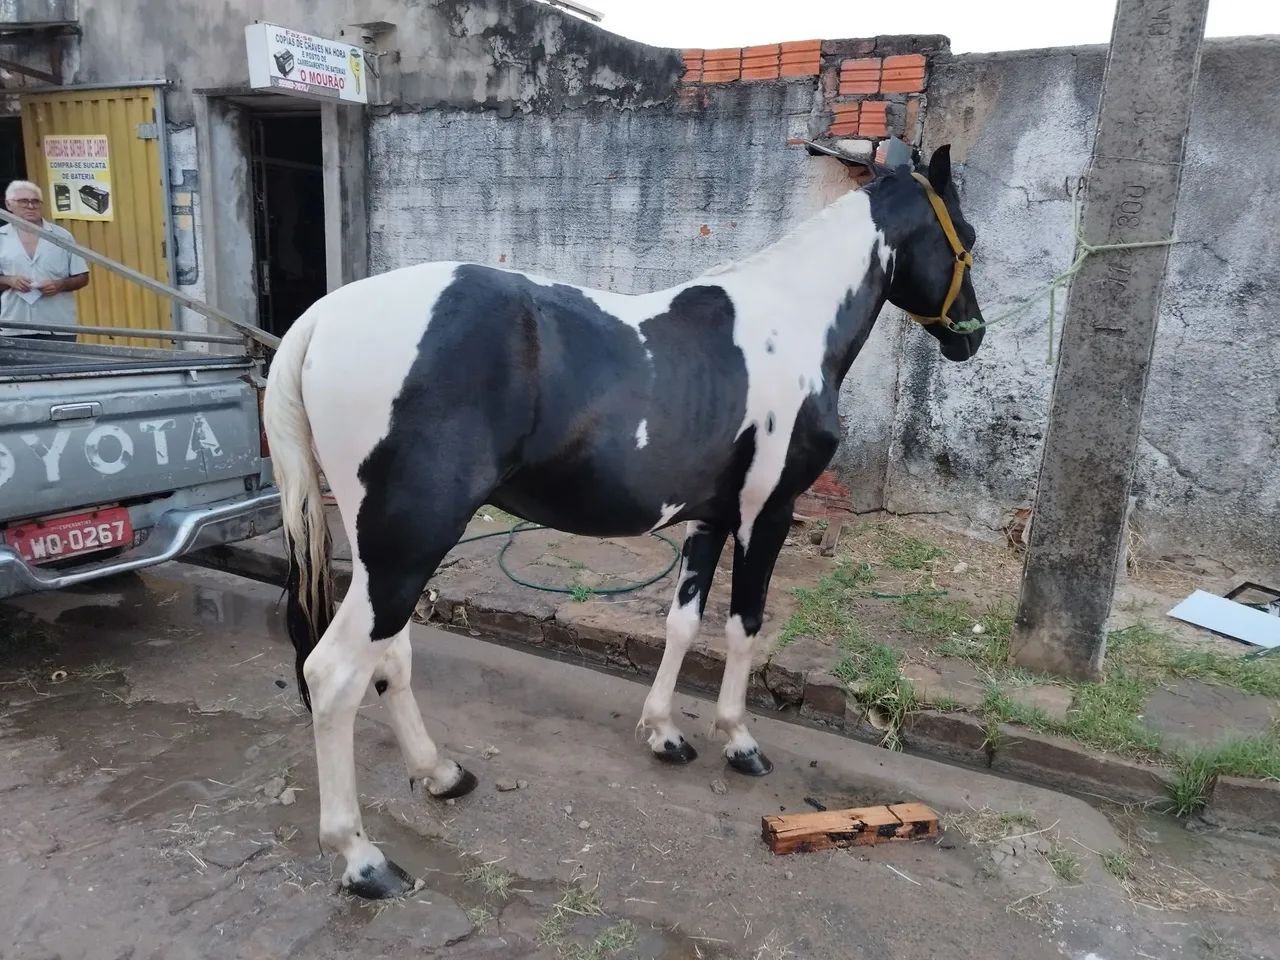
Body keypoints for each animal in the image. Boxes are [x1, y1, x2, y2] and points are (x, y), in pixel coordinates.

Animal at [261, 144, 985, 898]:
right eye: (966, 235)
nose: (973, 337)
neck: (791, 322)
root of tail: (322, 318)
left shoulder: (708, 520)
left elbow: (683, 623)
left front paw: (665, 731)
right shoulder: (767, 513)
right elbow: (744, 626)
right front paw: (738, 740)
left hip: (384, 551)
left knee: (389, 658)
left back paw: (441, 774)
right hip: (408, 544)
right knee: (334, 675)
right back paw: (361, 858)